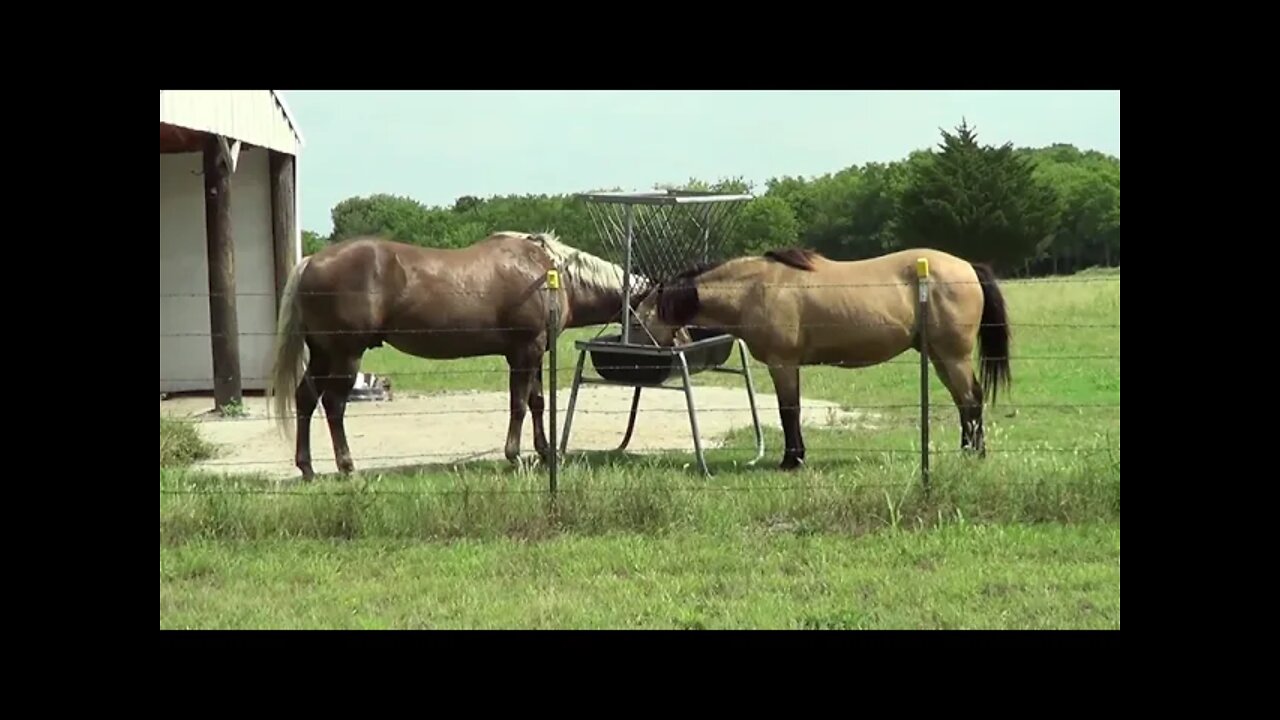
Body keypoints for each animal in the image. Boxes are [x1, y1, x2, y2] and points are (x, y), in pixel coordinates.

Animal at [266, 229, 645, 476]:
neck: (549, 274)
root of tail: (311, 261)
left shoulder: (537, 353)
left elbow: (537, 403)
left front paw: (545, 452)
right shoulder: (524, 351)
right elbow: (519, 405)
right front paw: (514, 456)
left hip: (322, 353)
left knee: (305, 399)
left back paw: (308, 468)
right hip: (345, 354)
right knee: (333, 405)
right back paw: (347, 467)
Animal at [629, 244, 1008, 471]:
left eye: (636, 321)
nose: (638, 361)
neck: (757, 288)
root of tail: (968, 267)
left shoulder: (783, 364)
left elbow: (789, 411)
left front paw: (791, 460)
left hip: (952, 355)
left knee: (971, 399)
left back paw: (974, 454)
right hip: (939, 357)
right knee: (965, 402)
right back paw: (967, 451)